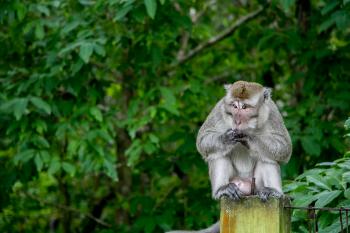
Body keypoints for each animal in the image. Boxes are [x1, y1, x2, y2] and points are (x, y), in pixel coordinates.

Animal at [165, 80, 292, 233]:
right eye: (234, 106)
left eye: (245, 107)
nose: (237, 121)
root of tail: (245, 185)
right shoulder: (220, 108)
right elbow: (203, 139)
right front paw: (226, 138)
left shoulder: (272, 112)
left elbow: (284, 147)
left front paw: (248, 136)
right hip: (235, 181)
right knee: (218, 154)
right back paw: (222, 189)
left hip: (256, 186)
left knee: (267, 158)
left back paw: (273, 191)